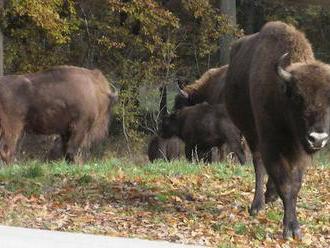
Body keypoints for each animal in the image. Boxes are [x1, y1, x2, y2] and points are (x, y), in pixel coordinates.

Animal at [224, 21, 330, 238]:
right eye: (298, 97)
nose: (318, 138)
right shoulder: (270, 144)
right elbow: (285, 183)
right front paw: (291, 228)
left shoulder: (299, 152)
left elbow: (295, 184)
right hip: (251, 133)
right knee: (258, 164)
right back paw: (257, 205)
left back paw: (269, 195)